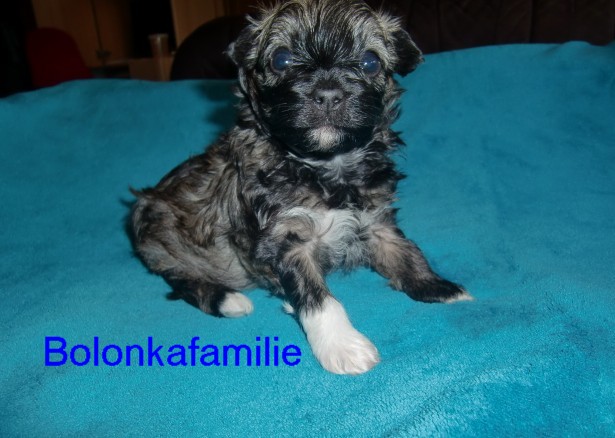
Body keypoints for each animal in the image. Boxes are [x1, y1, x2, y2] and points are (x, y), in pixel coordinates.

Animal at [131, 0, 471, 375]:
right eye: (281, 59)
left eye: (370, 61)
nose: (328, 94)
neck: (324, 165)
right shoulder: (286, 239)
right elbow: (317, 297)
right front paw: (342, 346)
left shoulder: (376, 221)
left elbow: (408, 254)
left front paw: (440, 288)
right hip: (162, 247)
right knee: (181, 281)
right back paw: (228, 300)